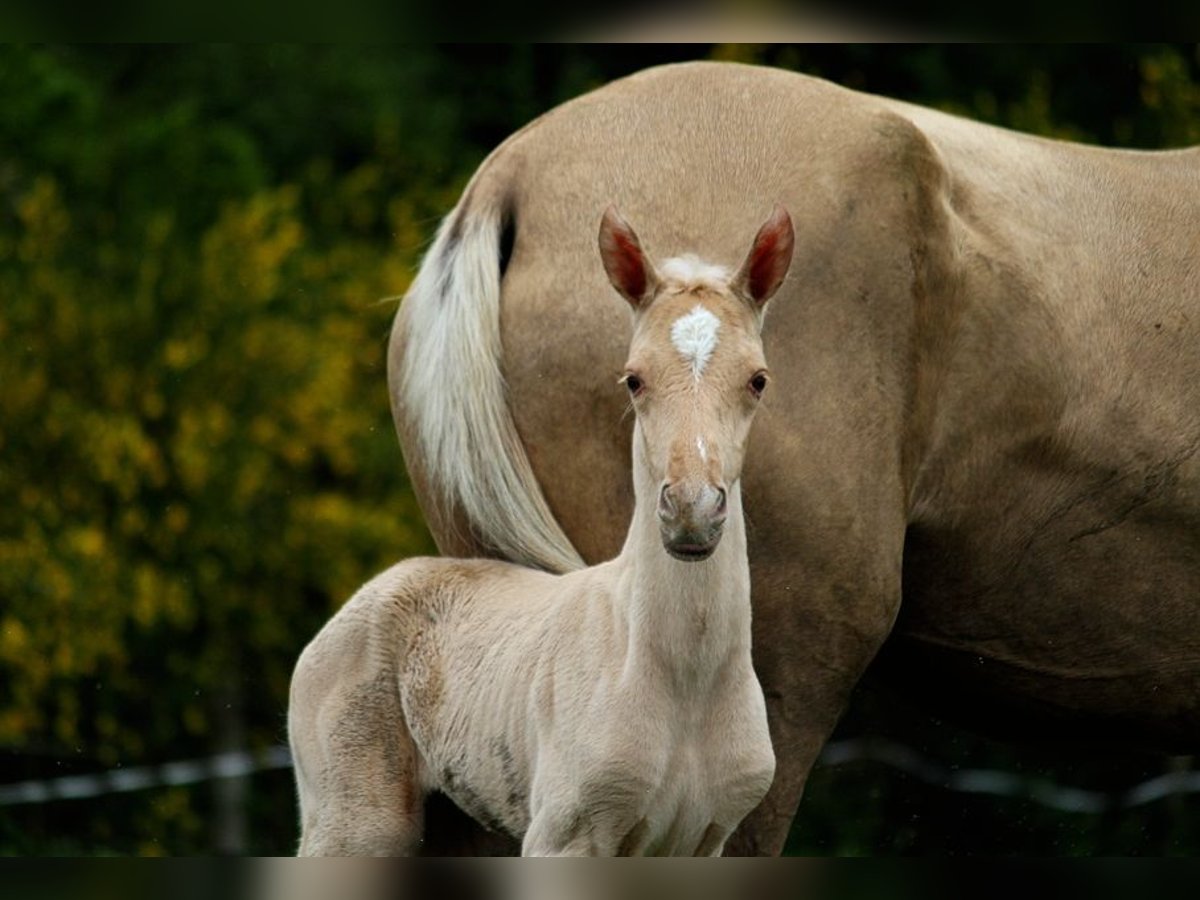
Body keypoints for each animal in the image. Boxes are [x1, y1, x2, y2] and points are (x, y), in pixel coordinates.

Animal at [288, 204, 796, 859]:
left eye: (758, 380)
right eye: (633, 380)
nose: (691, 511)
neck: (684, 681)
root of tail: (367, 597)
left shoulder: (707, 843)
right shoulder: (564, 836)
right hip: (353, 824)